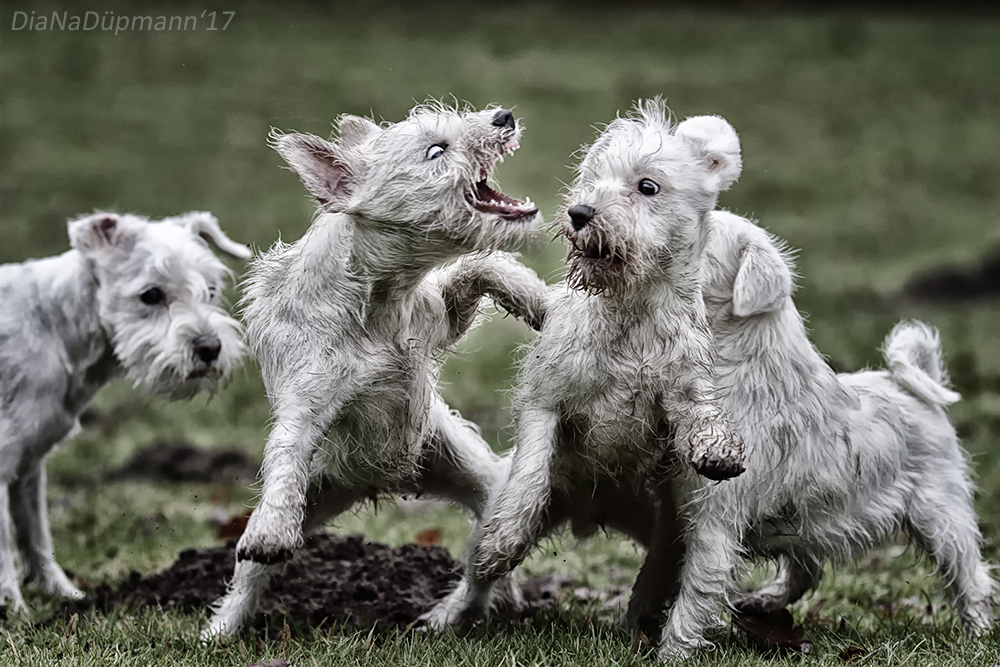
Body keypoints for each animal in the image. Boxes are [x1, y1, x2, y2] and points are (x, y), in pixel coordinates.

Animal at [0, 211, 249, 612]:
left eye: (211, 289)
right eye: (150, 294)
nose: (210, 348)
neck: (57, 325)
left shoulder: (29, 463)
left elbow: (36, 534)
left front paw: (67, 595)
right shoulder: (5, 456)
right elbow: (6, 543)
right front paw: (13, 607)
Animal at [204, 102, 548, 640]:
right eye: (435, 150)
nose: (503, 115)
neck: (379, 297)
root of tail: (374, 485)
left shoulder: (440, 318)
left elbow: (482, 268)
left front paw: (545, 305)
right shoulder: (307, 396)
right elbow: (287, 445)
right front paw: (269, 531)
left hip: (473, 475)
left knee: (482, 562)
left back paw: (454, 614)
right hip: (317, 491)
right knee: (250, 576)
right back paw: (221, 629)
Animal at [426, 99, 748, 632]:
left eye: (647, 186)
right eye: (593, 179)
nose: (580, 212)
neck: (629, 312)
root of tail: (595, 510)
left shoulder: (682, 382)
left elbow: (700, 412)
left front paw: (718, 449)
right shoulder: (546, 401)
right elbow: (530, 473)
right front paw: (505, 540)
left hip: (661, 520)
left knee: (663, 564)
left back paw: (641, 617)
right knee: (478, 574)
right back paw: (449, 612)